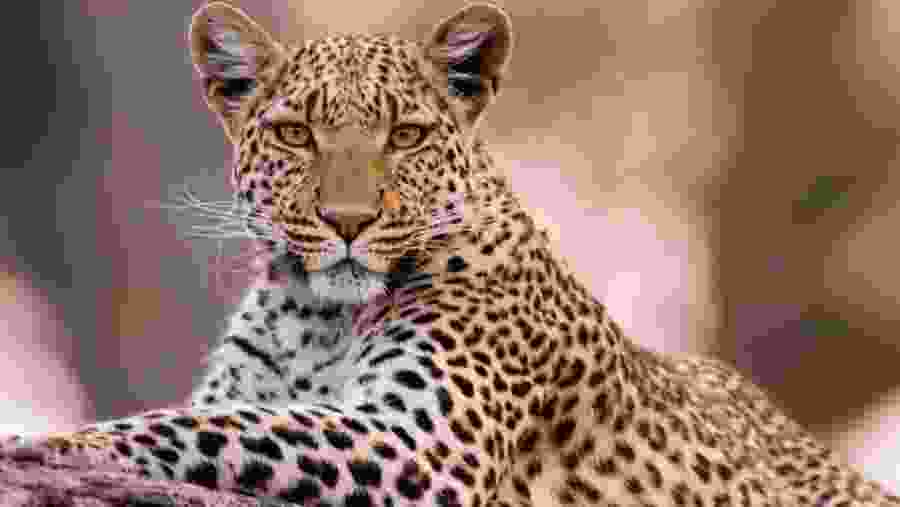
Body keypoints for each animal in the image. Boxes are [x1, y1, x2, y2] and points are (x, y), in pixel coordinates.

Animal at [2, 2, 898, 507]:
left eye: (405, 135)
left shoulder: (419, 440)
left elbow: (214, 426)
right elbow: (222, 410)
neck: (315, 316)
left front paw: (54, 444)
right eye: (296, 134)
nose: (349, 220)